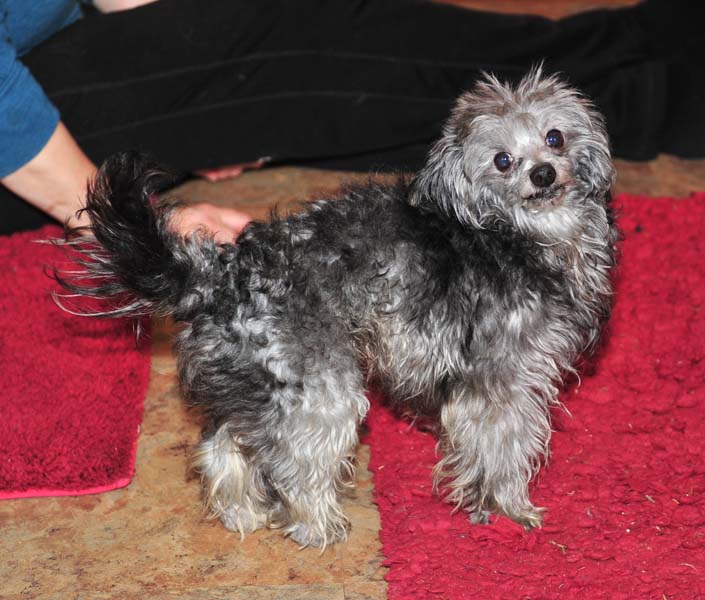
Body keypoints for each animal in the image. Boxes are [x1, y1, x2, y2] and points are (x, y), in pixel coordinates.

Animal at [56, 68, 618, 548]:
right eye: (502, 160)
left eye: (554, 137)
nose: (543, 174)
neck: (518, 235)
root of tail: (218, 274)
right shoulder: (502, 380)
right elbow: (503, 448)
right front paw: (508, 508)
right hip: (321, 390)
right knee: (292, 465)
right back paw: (317, 526)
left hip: (261, 385)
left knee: (224, 446)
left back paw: (243, 513)